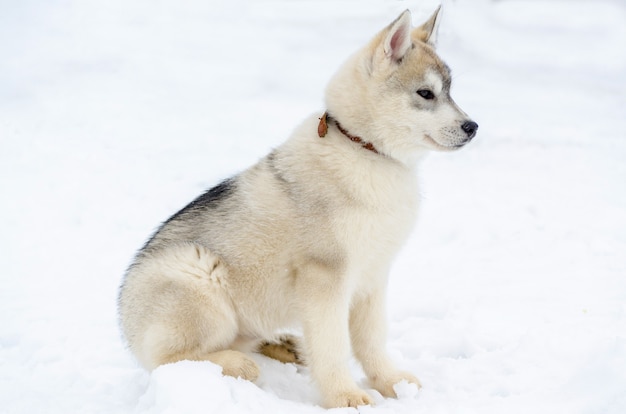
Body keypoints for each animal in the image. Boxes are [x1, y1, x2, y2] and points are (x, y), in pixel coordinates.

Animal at [118, 6, 478, 408]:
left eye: (450, 92)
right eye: (425, 93)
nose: (472, 126)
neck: (364, 149)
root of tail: (126, 327)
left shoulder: (373, 276)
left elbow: (372, 339)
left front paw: (390, 382)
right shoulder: (326, 277)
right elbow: (333, 346)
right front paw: (345, 397)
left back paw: (281, 344)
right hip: (198, 277)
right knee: (169, 359)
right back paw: (237, 364)